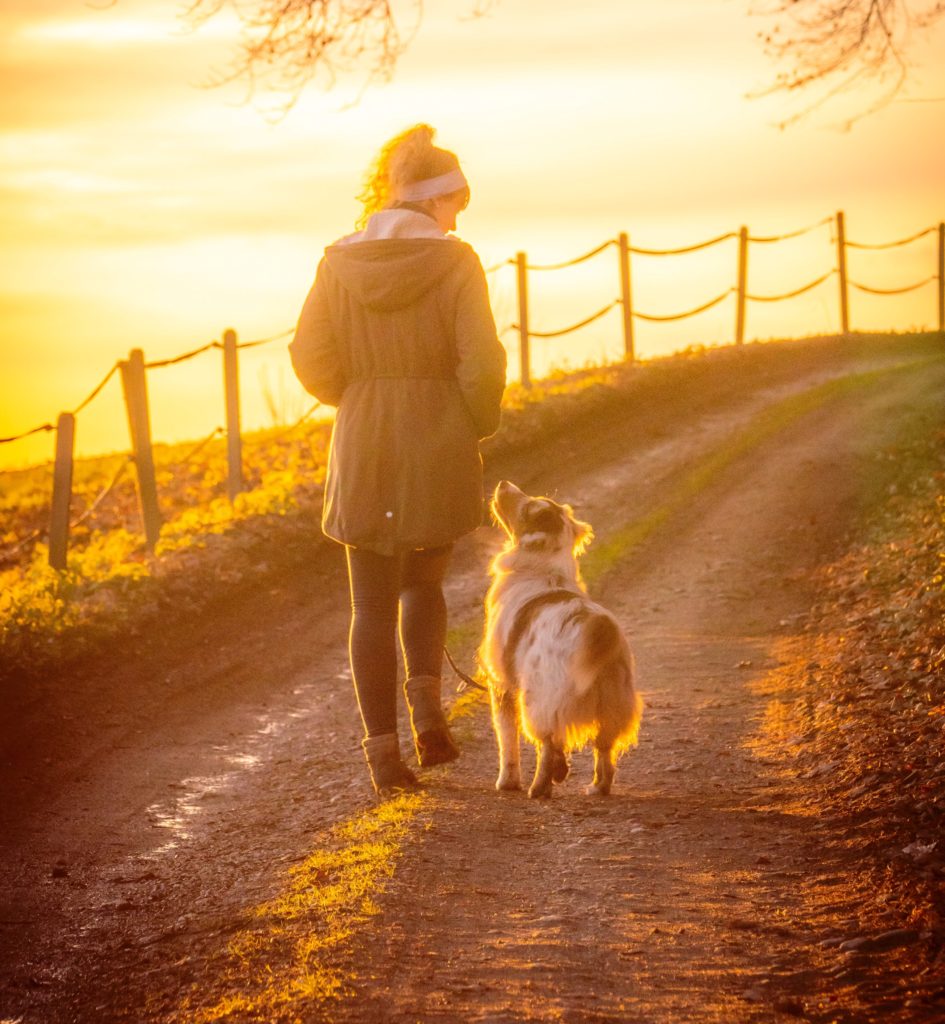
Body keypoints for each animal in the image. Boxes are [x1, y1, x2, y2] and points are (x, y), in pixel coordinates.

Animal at [481, 479, 642, 798]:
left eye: (528, 507)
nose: (503, 483)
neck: (543, 569)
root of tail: (597, 624)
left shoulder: (501, 684)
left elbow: (507, 738)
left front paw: (507, 782)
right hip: (613, 706)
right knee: (604, 750)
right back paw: (596, 787)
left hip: (538, 700)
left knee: (547, 743)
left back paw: (539, 787)